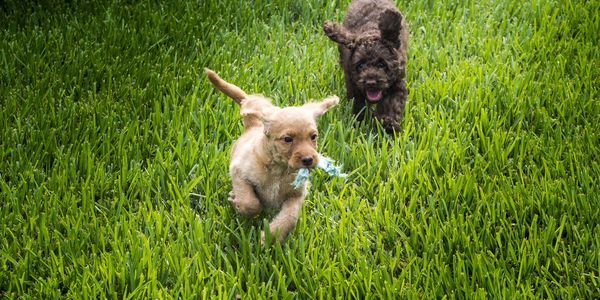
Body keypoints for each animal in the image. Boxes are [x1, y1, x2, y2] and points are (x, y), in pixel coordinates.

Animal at [205, 69, 338, 243]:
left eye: (313, 136)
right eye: (287, 139)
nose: (309, 160)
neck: (279, 170)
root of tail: (253, 124)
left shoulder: (296, 195)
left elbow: (290, 217)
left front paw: (271, 235)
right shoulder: (238, 172)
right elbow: (250, 203)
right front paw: (237, 202)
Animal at [324, 0, 408, 132]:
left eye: (382, 64)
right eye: (360, 65)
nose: (371, 82)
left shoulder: (397, 82)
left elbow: (392, 103)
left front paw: (389, 123)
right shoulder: (353, 84)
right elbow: (359, 104)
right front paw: (360, 122)